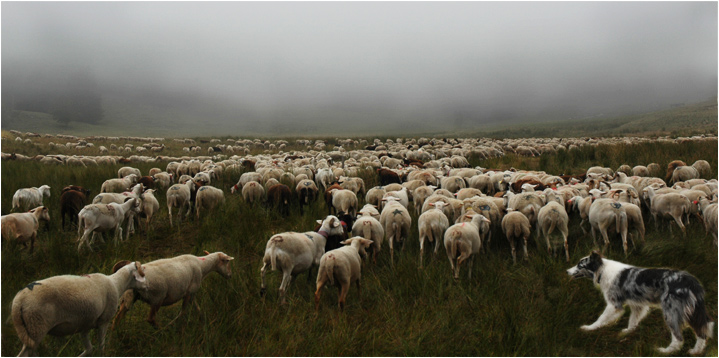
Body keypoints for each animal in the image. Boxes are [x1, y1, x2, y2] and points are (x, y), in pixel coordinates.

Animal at [11, 260, 147, 358]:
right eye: (142, 274)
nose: (147, 286)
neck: (116, 284)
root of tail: (18, 302)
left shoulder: (85, 325)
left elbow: (89, 348)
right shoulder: (104, 321)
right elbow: (101, 347)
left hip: (29, 330)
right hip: (36, 326)